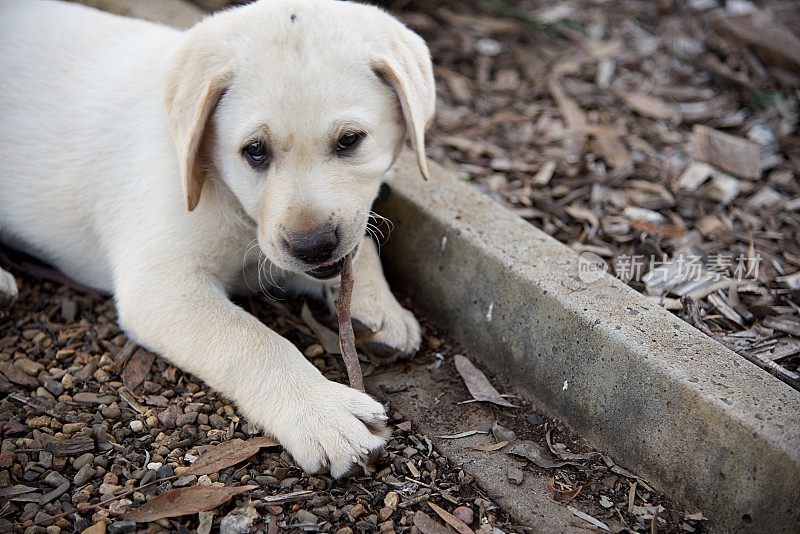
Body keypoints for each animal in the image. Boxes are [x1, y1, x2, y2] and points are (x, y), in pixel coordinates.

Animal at [0, 0, 434, 478]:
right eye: (255, 151)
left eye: (350, 141)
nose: (313, 246)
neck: (224, 192)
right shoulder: (163, 288)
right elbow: (253, 340)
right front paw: (323, 412)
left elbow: (361, 248)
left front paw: (379, 308)